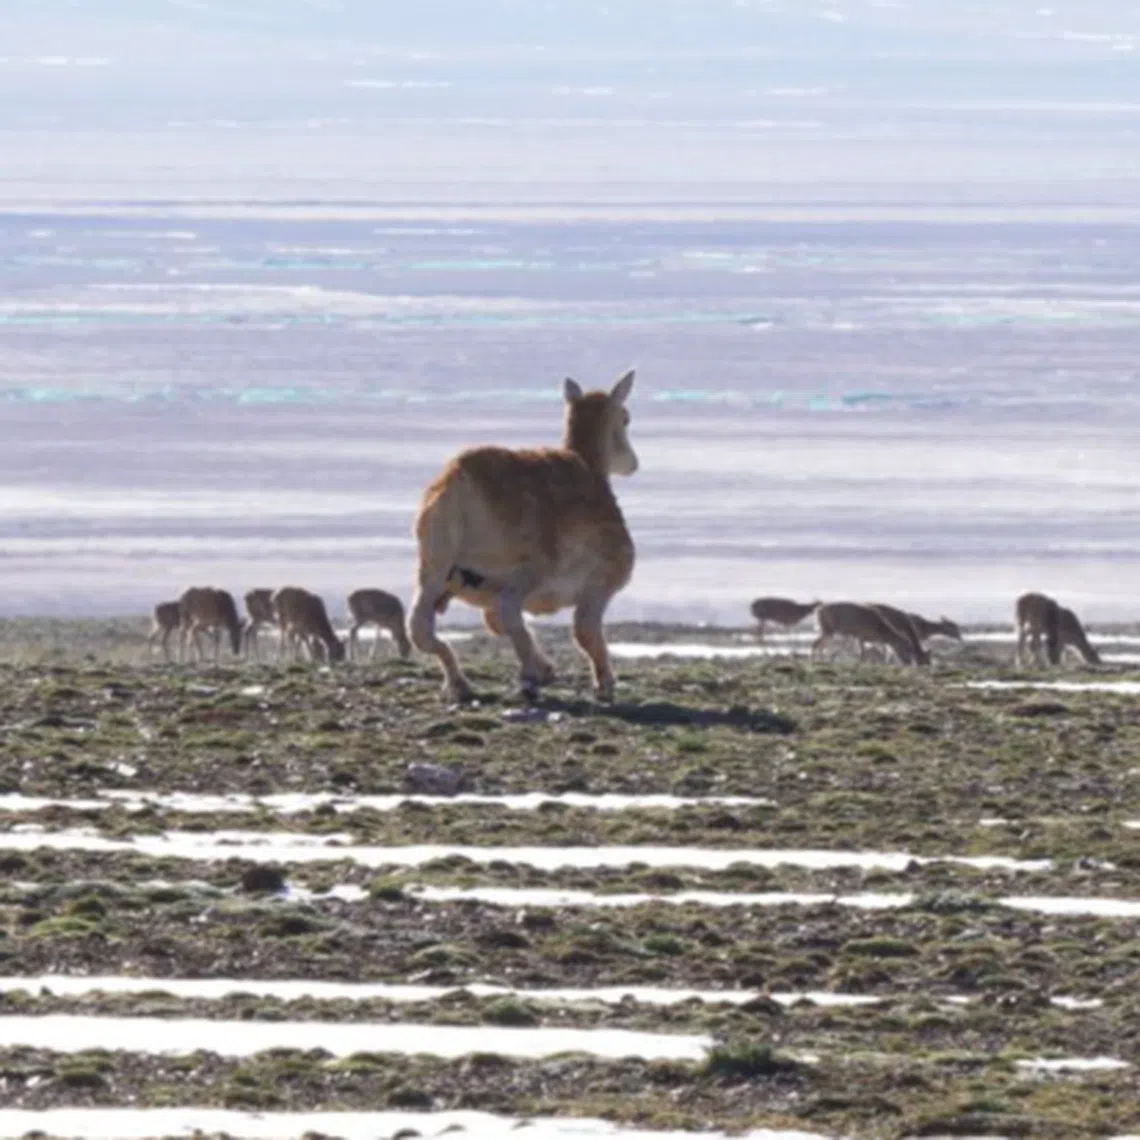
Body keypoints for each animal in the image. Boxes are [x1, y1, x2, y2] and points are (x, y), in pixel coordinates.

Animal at [409, 369, 638, 703]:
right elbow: (584, 631)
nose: (633, 463)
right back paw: (531, 676)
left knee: (421, 629)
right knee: (508, 610)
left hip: (435, 570)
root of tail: (458, 481)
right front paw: (605, 684)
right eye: (625, 417)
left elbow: (494, 623)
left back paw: (461, 683)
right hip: (528, 569)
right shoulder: (599, 585)